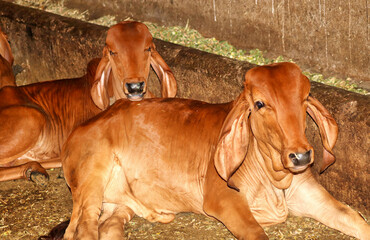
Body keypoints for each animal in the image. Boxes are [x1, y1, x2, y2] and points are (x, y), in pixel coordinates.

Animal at [44, 62, 368, 240]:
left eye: (304, 98)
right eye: (260, 104)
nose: (300, 156)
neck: (274, 178)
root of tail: (81, 128)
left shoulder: (313, 197)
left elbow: (354, 219)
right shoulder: (223, 199)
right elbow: (256, 233)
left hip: (116, 205)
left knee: (108, 227)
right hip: (91, 178)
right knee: (82, 230)